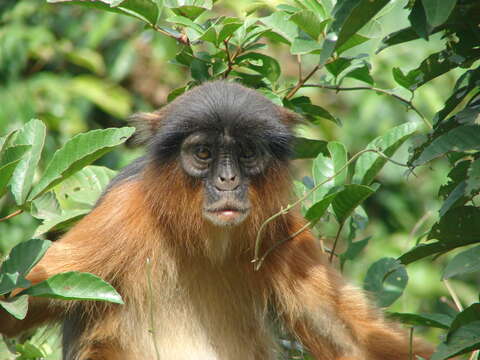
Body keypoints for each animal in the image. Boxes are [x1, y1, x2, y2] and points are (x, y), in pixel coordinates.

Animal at [0, 81, 434, 360]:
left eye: (246, 153)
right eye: (204, 153)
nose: (228, 181)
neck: (203, 241)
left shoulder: (282, 230)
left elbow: (351, 339)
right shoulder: (123, 215)